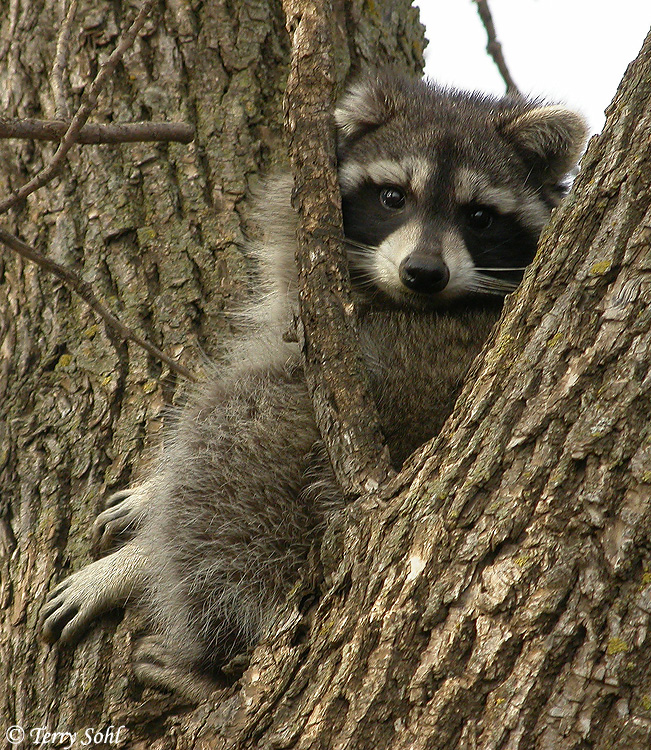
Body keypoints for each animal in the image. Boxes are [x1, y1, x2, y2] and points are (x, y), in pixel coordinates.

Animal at [40, 72, 587, 700]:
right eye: (394, 197)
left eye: (479, 217)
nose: (424, 273)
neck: (401, 297)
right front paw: (150, 495)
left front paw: (129, 561)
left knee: (227, 441)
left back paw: (202, 661)